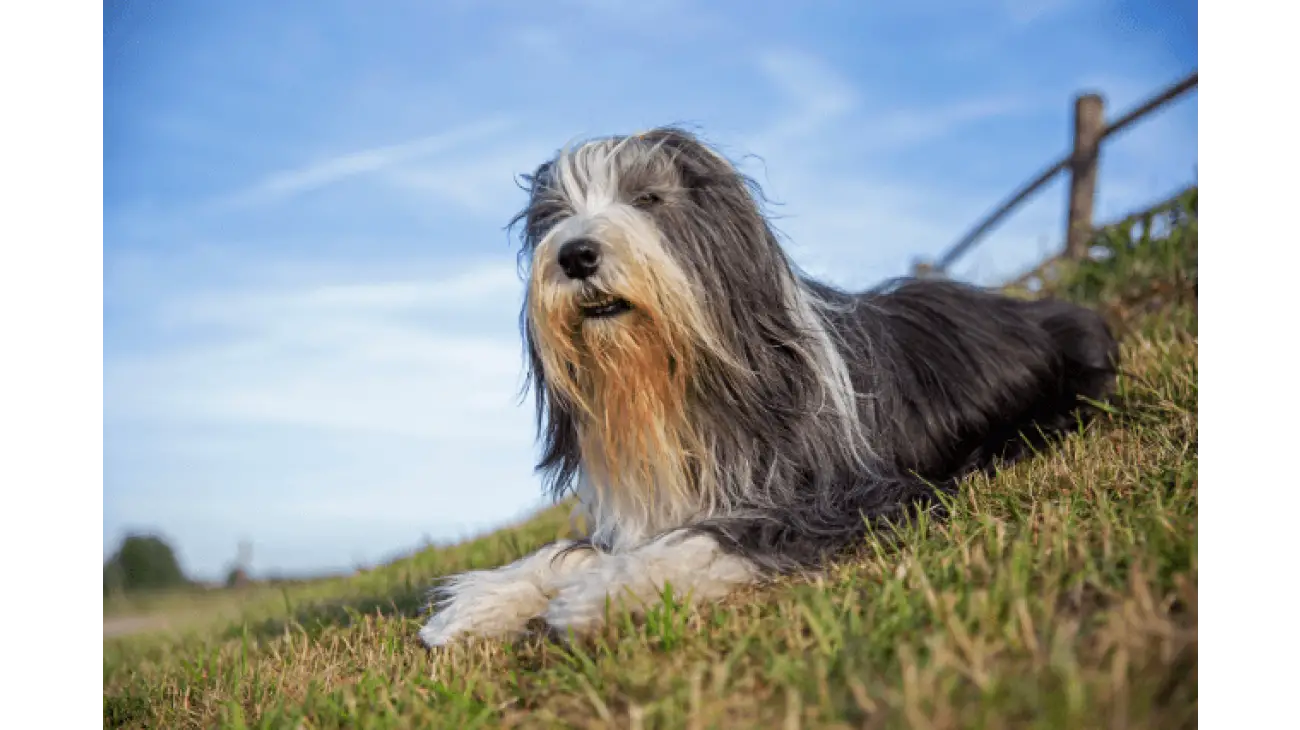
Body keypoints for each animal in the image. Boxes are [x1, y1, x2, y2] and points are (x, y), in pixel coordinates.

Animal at [418, 127, 1118, 644]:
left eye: (648, 200)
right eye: (554, 218)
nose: (575, 255)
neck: (681, 387)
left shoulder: (853, 498)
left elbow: (718, 536)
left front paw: (597, 596)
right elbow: (571, 549)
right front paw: (482, 600)